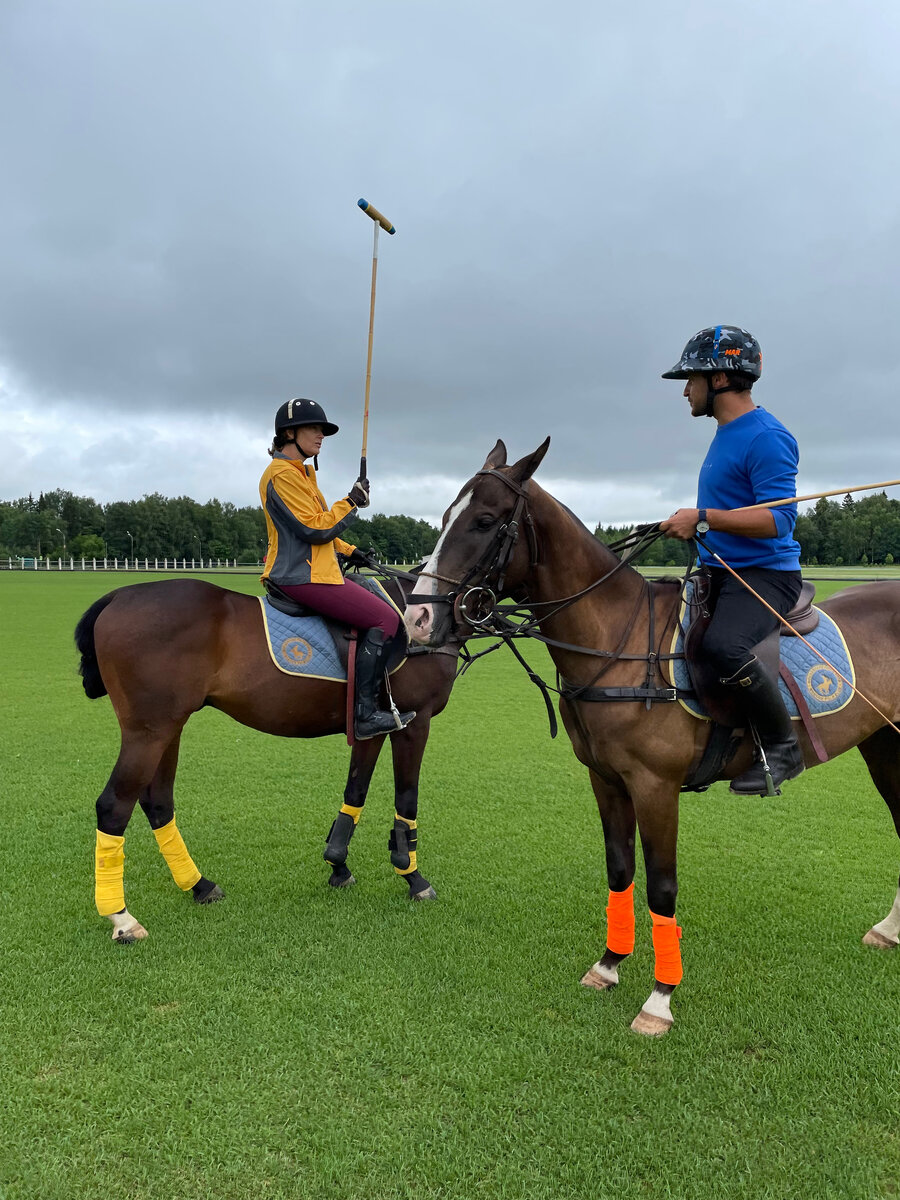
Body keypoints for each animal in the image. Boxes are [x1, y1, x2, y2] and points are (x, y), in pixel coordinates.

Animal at [74, 576, 460, 940]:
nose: (421, 623)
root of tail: (118, 595)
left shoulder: (372, 725)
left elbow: (355, 791)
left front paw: (338, 866)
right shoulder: (415, 722)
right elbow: (406, 799)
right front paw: (413, 876)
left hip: (170, 726)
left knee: (157, 802)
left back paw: (199, 886)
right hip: (148, 731)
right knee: (113, 806)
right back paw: (123, 919)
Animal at [403, 436, 900, 1036]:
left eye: (483, 520)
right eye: (444, 517)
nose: (417, 619)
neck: (616, 640)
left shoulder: (655, 785)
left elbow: (663, 886)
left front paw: (660, 999)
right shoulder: (606, 779)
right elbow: (620, 870)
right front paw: (608, 965)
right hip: (884, 745)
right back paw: (889, 930)